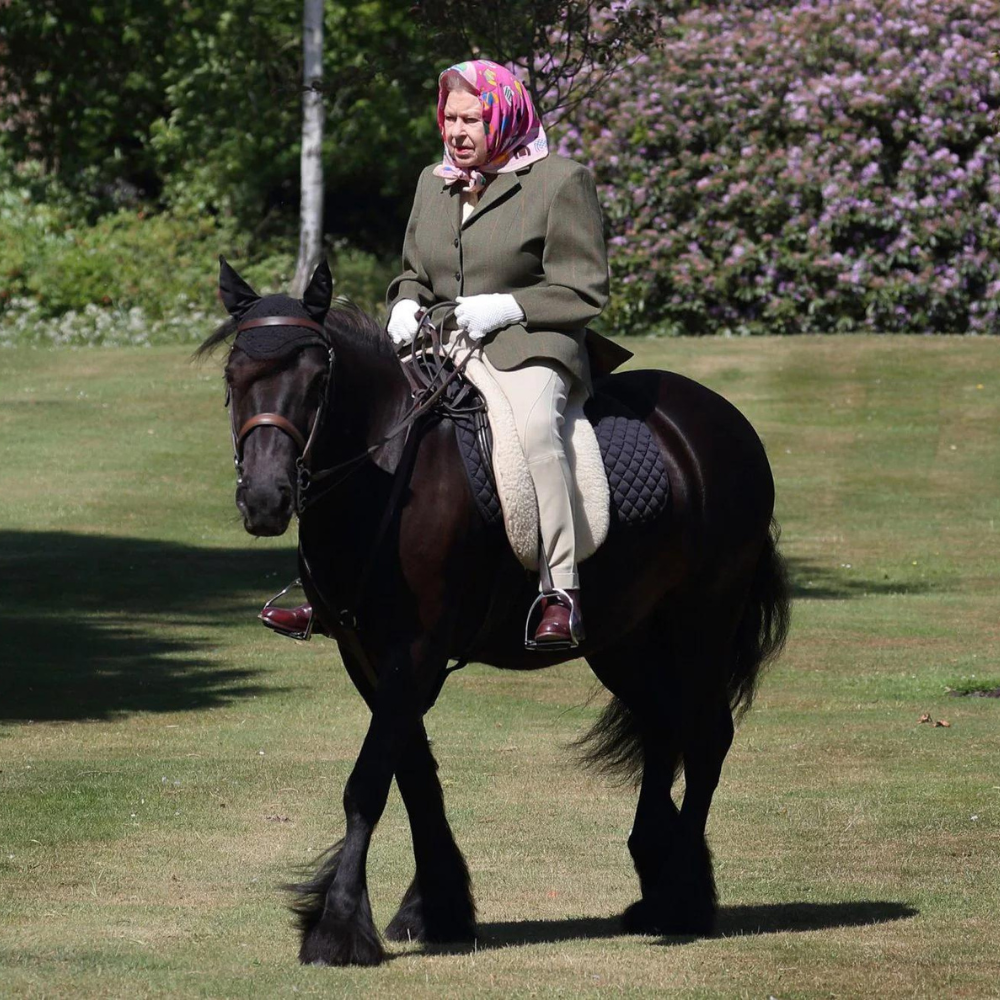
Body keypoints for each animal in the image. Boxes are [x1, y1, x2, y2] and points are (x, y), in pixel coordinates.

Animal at [197, 260, 788, 968]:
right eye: (234, 378)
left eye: (318, 381)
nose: (265, 499)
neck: (386, 472)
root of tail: (719, 421)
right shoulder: (366, 654)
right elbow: (413, 774)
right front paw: (437, 908)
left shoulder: (415, 650)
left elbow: (368, 782)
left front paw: (338, 927)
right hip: (624, 638)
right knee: (661, 727)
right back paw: (655, 880)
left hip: (702, 620)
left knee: (704, 738)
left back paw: (682, 899)